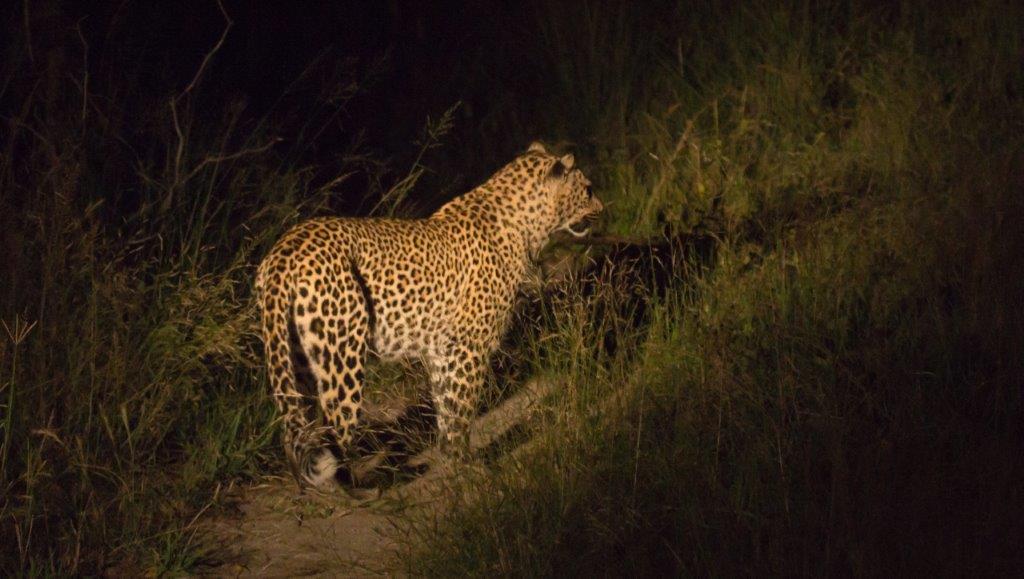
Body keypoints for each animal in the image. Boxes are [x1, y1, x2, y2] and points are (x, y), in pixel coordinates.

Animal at [255, 142, 603, 488]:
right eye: (587, 189)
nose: (601, 209)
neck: (527, 224)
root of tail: (284, 251)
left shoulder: (442, 350)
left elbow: (447, 407)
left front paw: (451, 457)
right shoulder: (468, 347)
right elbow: (460, 408)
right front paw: (468, 466)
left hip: (297, 358)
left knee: (297, 431)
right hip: (341, 356)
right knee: (335, 428)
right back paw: (357, 488)